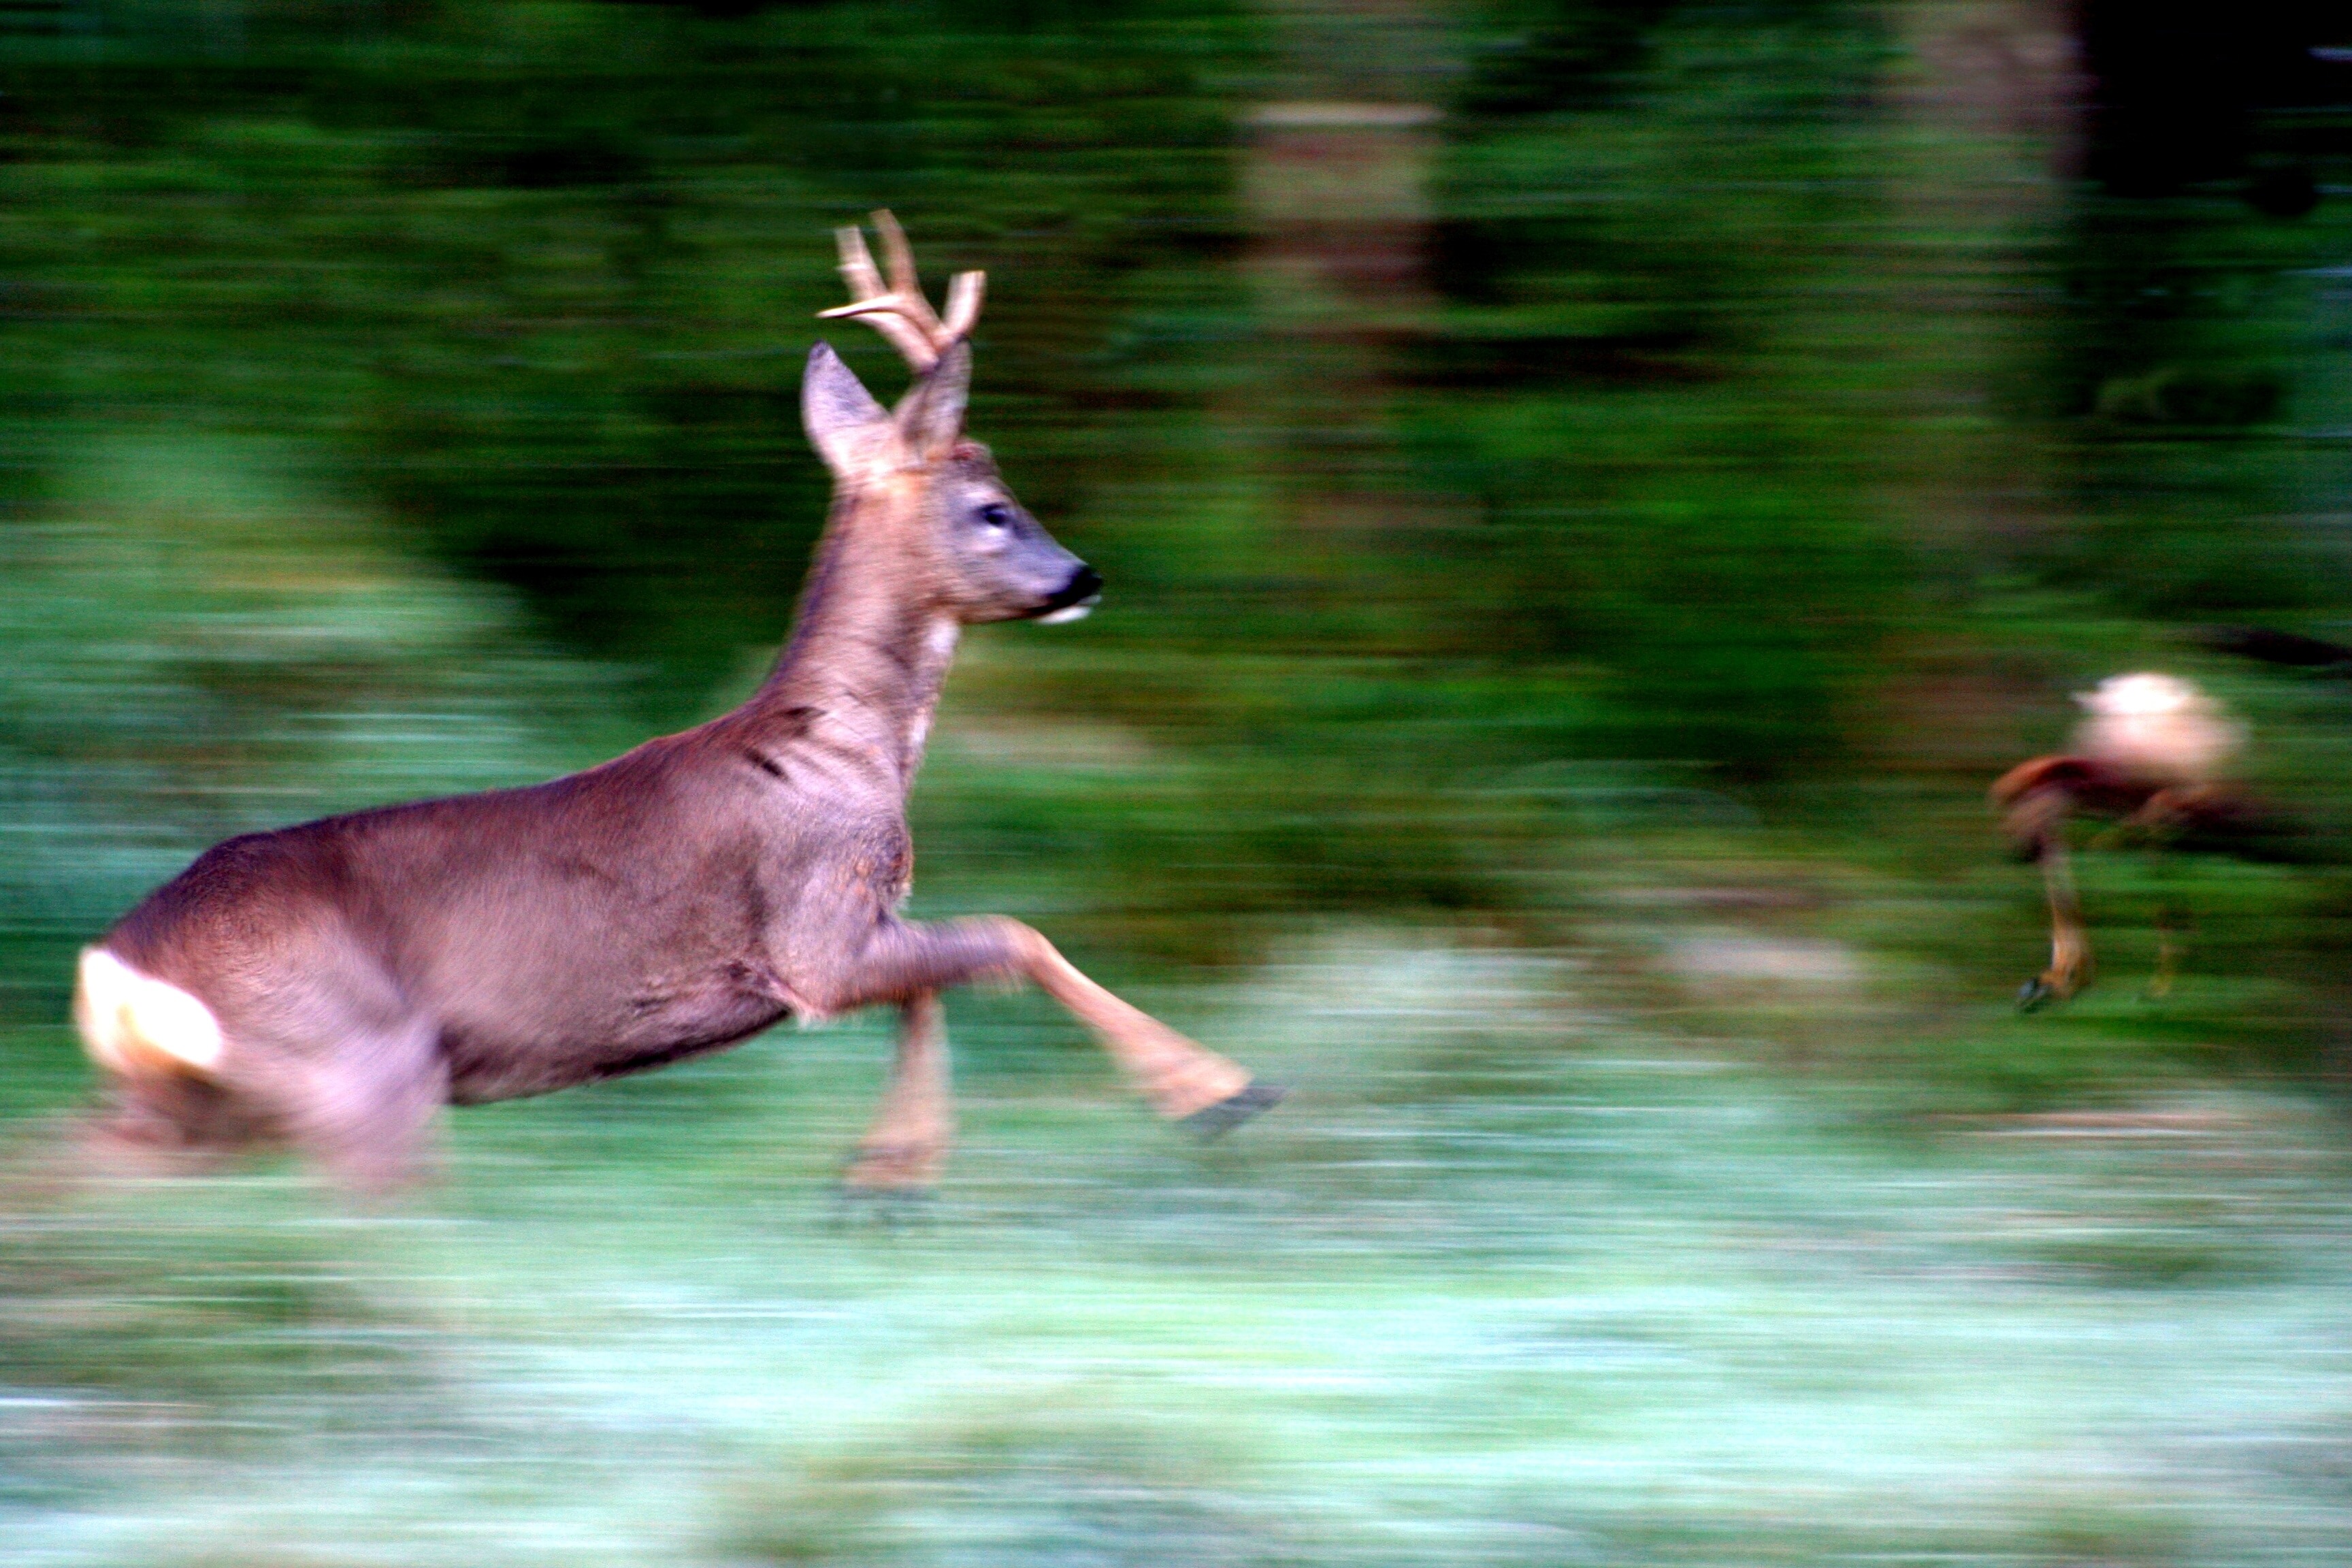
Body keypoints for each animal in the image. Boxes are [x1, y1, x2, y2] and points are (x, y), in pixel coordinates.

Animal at [74, 217, 1279, 1189]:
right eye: (993, 507)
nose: (1083, 577)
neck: (848, 750)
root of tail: (111, 973)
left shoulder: (845, 937)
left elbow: (944, 981)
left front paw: (887, 1178)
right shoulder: (812, 929)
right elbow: (1011, 939)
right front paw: (1219, 1093)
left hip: (200, 1104)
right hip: (355, 1065)